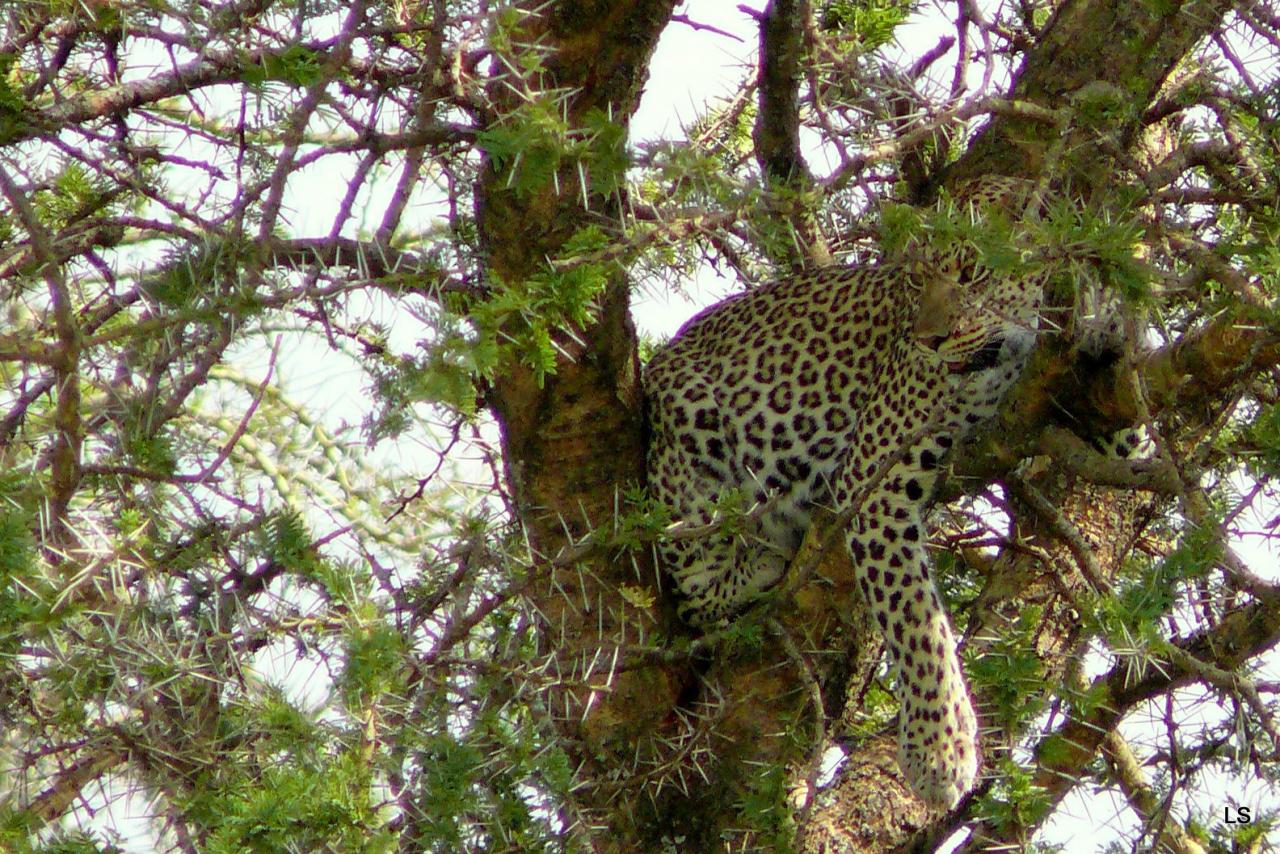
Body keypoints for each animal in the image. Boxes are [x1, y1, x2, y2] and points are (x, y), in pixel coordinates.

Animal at [645, 179, 1054, 809]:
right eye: (916, 280)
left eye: (973, 274)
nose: (930, 340)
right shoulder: (872, 481)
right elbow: (916, 620)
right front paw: (940, 749)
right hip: (690, 432)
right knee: (692, 587)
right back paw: (762, 557)